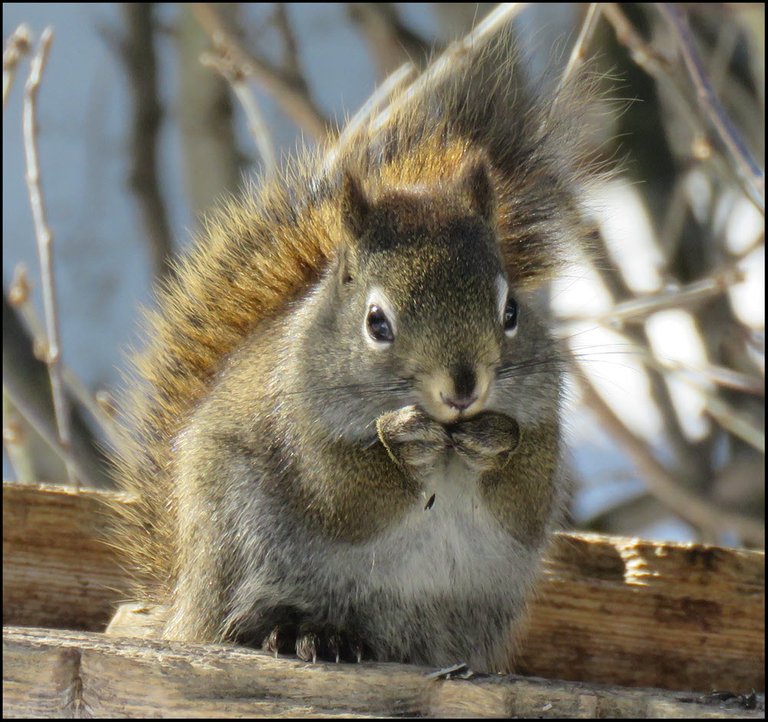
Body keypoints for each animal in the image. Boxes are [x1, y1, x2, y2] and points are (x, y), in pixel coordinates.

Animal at [114, 29, 604, 668]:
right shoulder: (300, 427)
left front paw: (493, 438)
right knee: (242, 619)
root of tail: (181, 607)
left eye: (511, 312)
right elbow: (343, 497)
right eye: (377, 323)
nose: (464, 388)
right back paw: (299, 634)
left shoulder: (543, 428)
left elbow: (521, 498)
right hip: (234, 543)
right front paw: (403, 442)